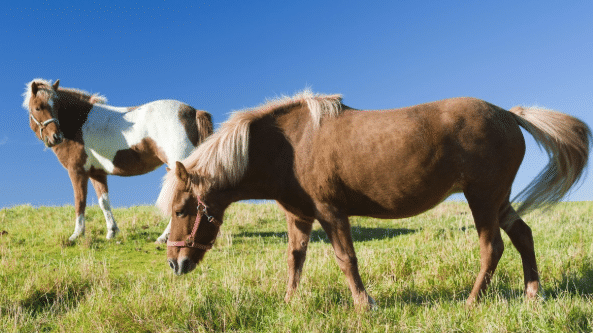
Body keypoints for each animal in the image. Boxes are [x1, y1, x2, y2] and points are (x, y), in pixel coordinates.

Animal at [23, 79, 213, 243]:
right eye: (38, 107)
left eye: (56, 106)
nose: (56, 137)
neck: (79, 123)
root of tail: (193, 112)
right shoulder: (97, 173)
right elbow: (104, 202)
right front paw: (112, 232)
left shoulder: (77, 171)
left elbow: (80, 201)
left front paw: (77, 234)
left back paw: (164, 237)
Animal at [155, 89, 588, 308]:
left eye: (181, 209)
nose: (175, 265)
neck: (288, 147)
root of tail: (509, 114)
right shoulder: (299, 217)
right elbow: (295, 260)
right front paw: (290, 302)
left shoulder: (331, 213)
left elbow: (346, 258)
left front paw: (365, 304)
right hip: (497, 200)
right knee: (523, 235)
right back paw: (532, 292)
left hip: (482, 198)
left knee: (492, 246)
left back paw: (471, 300)